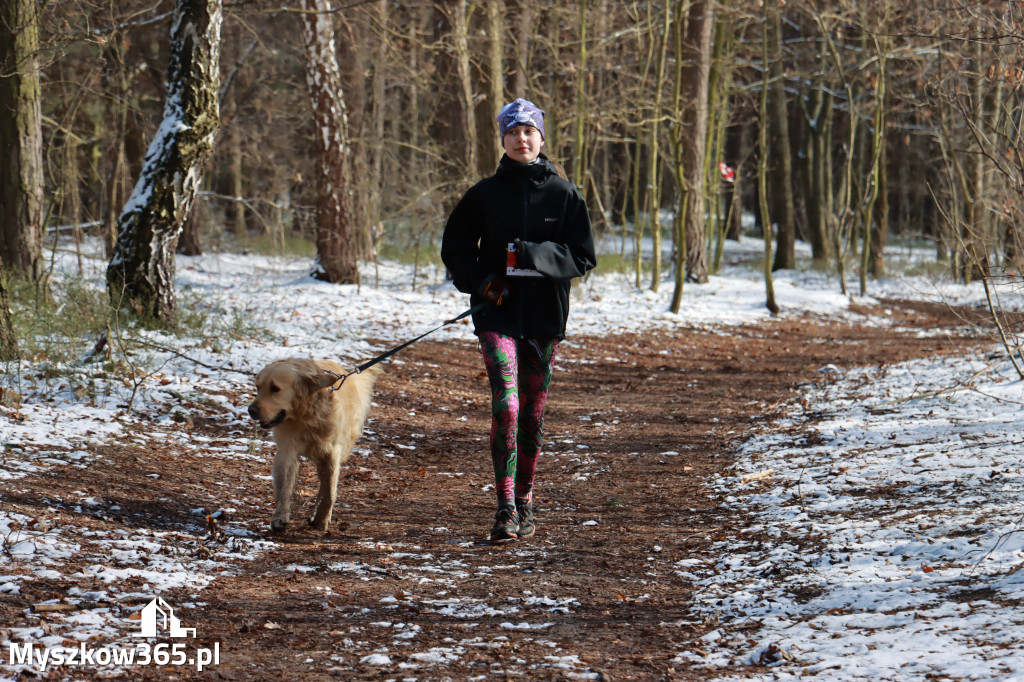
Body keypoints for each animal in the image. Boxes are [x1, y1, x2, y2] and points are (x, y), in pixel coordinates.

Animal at [245, 356, 382, 532]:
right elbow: (284, 489)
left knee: (324, 485)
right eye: (258, 387)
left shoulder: (331, 453)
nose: (251, 410)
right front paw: (280, 517)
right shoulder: (286, 451)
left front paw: (323, 519)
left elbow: (330, 492)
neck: (305, 415)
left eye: (275, 388)